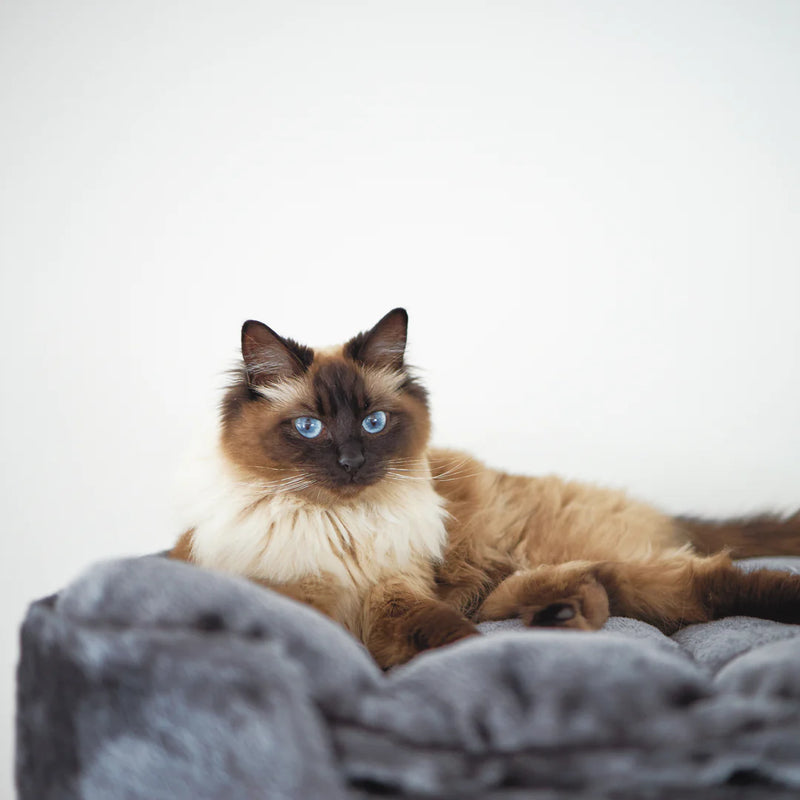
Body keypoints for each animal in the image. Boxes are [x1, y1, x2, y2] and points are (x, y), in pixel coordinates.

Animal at [172, 308, 800, 668]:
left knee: (708, 584)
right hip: (532, 579)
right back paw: (563, 617)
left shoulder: (397, 592)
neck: (342, 528)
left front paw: (471, 657)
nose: (351, 462)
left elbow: (448, 635)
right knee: (616, 591)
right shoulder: (306, 597)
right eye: (310, 428)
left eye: (374, 422)